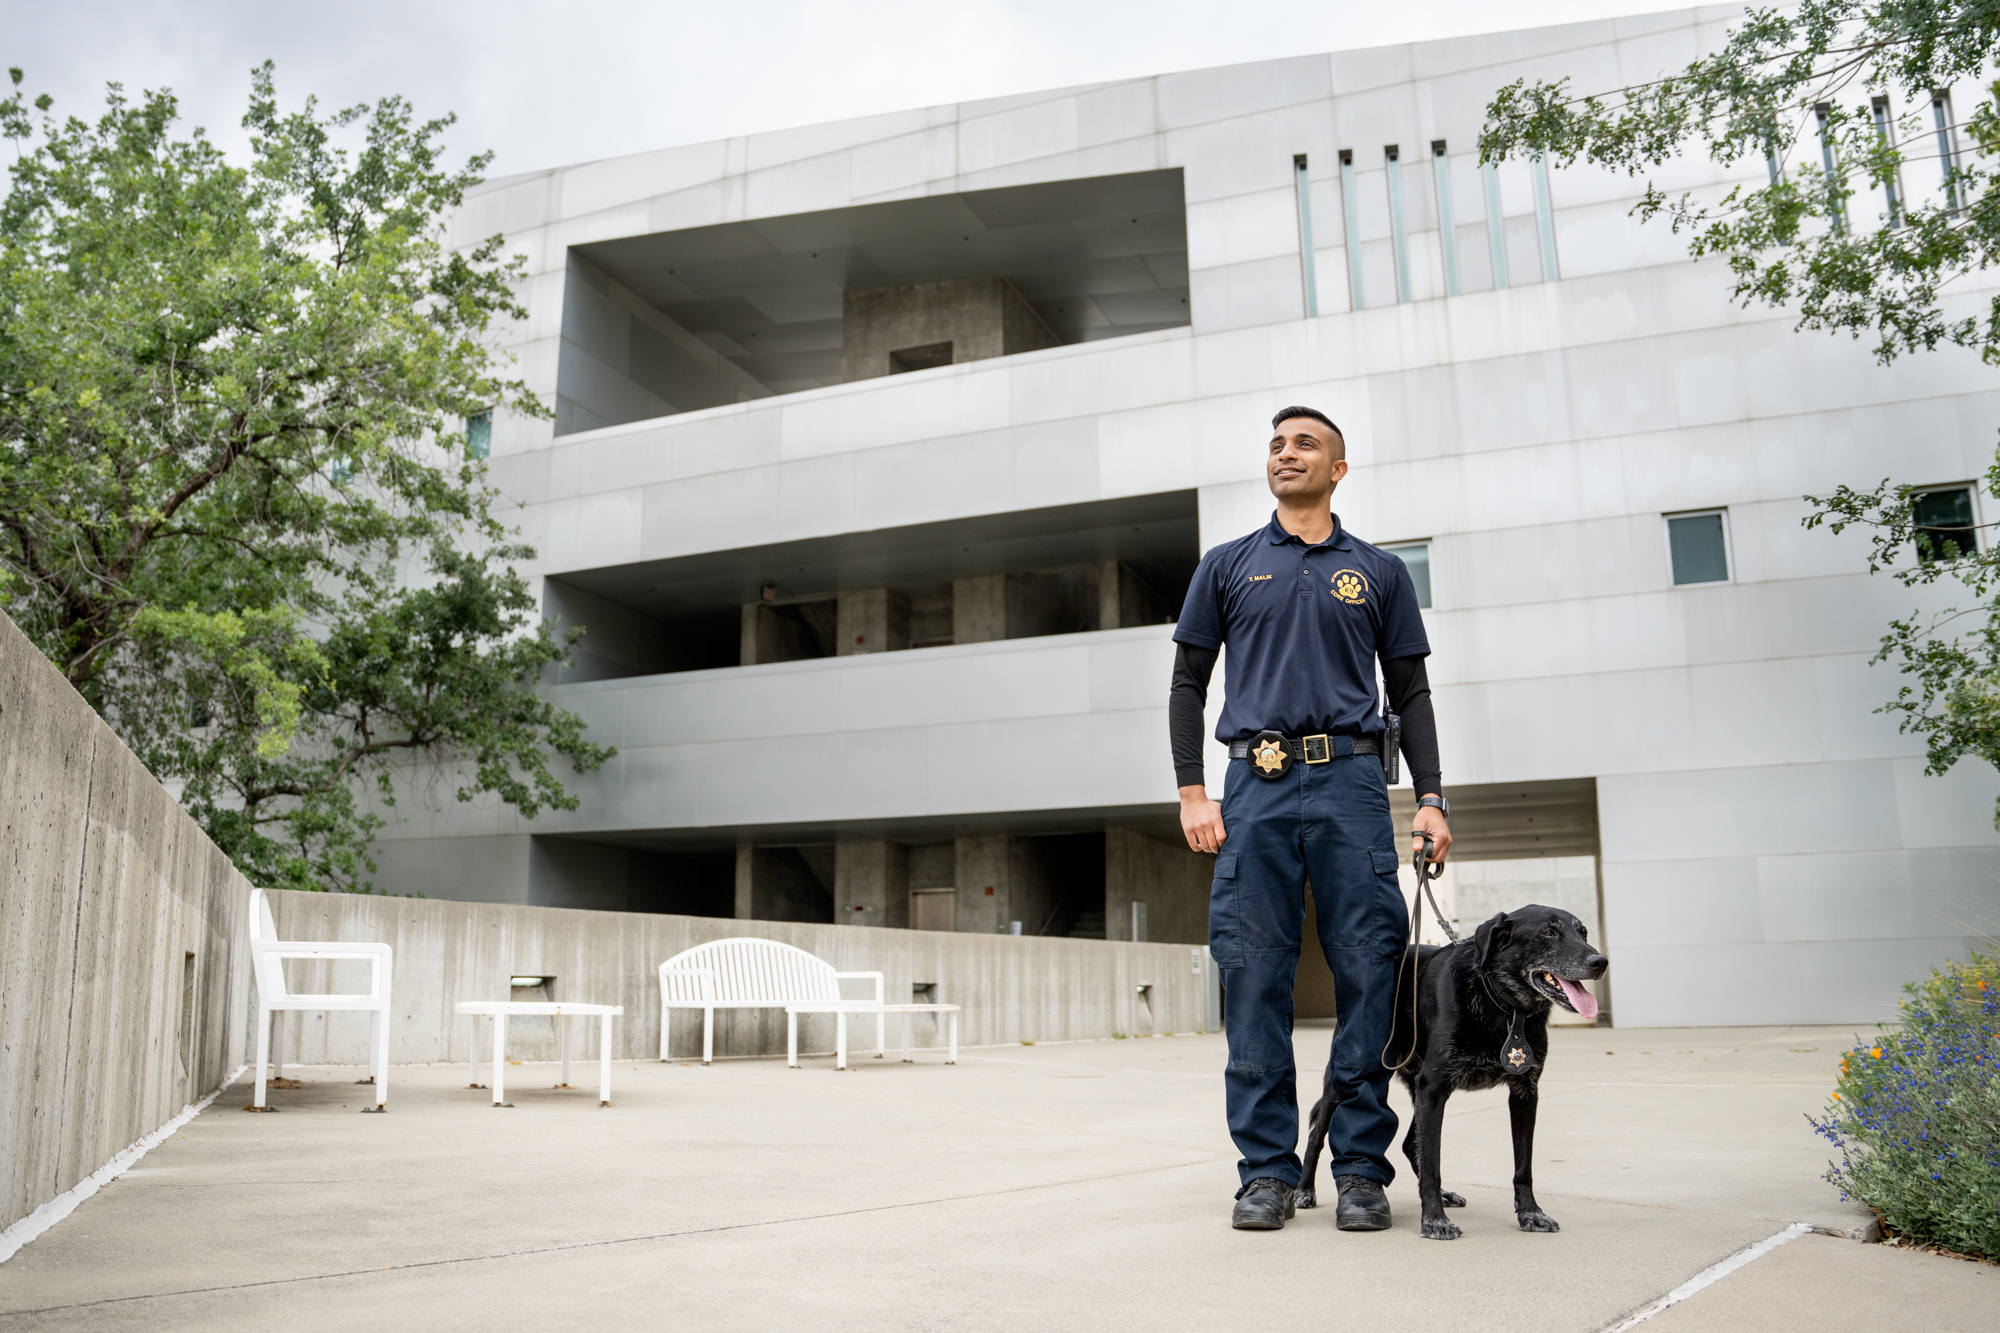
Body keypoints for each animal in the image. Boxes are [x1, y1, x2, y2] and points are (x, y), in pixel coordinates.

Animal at [1296, 904, 1608, 1232]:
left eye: (1583, 932)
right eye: (1548, 932)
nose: (1601, 962)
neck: (1502, 1005)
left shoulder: (1524, 1092)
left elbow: (1523, 1165)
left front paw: (1531, 1213)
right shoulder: (1434, 1088)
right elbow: (1433, 1162)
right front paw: (1434, 1219)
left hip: (1418, 1089)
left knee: (1410, 1143)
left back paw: (1444, 1194)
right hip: (1344, 1082)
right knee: (1317, 1136)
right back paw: (1304, 1190)